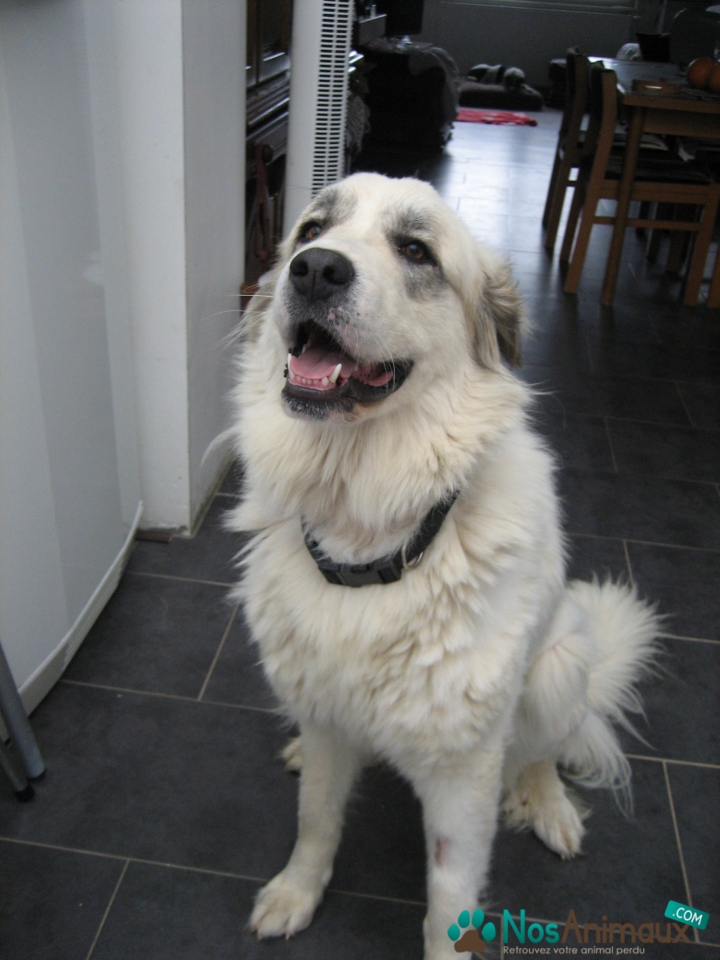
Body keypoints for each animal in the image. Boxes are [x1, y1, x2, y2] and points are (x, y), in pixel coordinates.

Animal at [227, 172, 658, 960]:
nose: (315, 270)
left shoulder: (463, 776)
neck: (370, 533)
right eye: (310, 230)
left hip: (559, 667)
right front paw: (296, 894)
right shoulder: (328, 714)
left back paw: (550, 806)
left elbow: (449, 899)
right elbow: (315, 820)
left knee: (544, 750)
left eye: (415, 251)